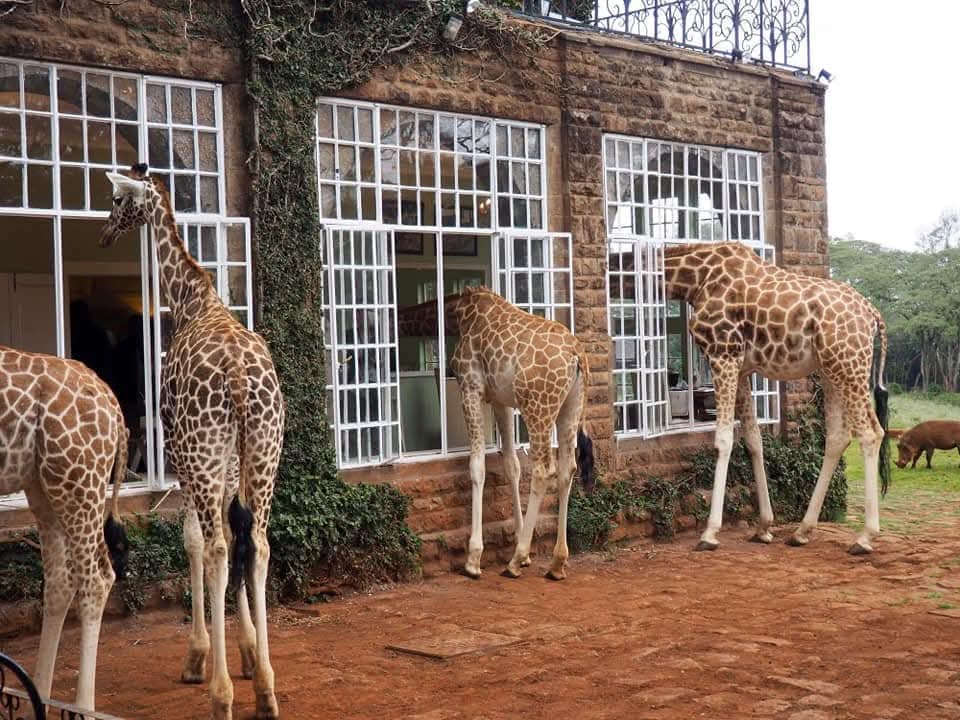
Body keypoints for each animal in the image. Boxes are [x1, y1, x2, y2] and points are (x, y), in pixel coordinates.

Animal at [0, 346, 127, 712]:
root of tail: (112, 403)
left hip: (77, 477)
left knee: (96, 579)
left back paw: (83, 707)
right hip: (42, 483)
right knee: (60, 580)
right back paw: (39, 698)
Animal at [100, 165, 284, 720]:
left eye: (117, 199)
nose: (105, 233)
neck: (191, 300)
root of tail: (240, 377)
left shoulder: (184, 455)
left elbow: (195, 542)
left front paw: (199, 656)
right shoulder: (228, 464)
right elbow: (236, 536)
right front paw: (248, 651)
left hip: (202, 455)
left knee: (221, 547)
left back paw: (220, 694)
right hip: (265, 451)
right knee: (258, 544)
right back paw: (266, 689)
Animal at [396, 286, 592, 580]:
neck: (457, 314)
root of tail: (576, 355)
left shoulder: (470, 387)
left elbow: (477, 467)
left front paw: (474, 559)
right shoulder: (501, 400)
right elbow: (511, 465)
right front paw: (525, 549)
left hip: (538, 407)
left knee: (543, 470)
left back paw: (514, 562)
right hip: (571, 408)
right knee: (568, 469)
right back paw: (557, 563)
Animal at [660, 245, 892, 556]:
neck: (696, 279)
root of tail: (873, 314)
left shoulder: (722, 354)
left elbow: (723, 439)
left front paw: (709, 533)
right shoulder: (742, 368)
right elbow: (753, 440)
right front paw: (764, 527)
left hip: (848, 366)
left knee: (870, 433)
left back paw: (864, 538)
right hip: (832, 369)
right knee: (838, 437)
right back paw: (801, 531)